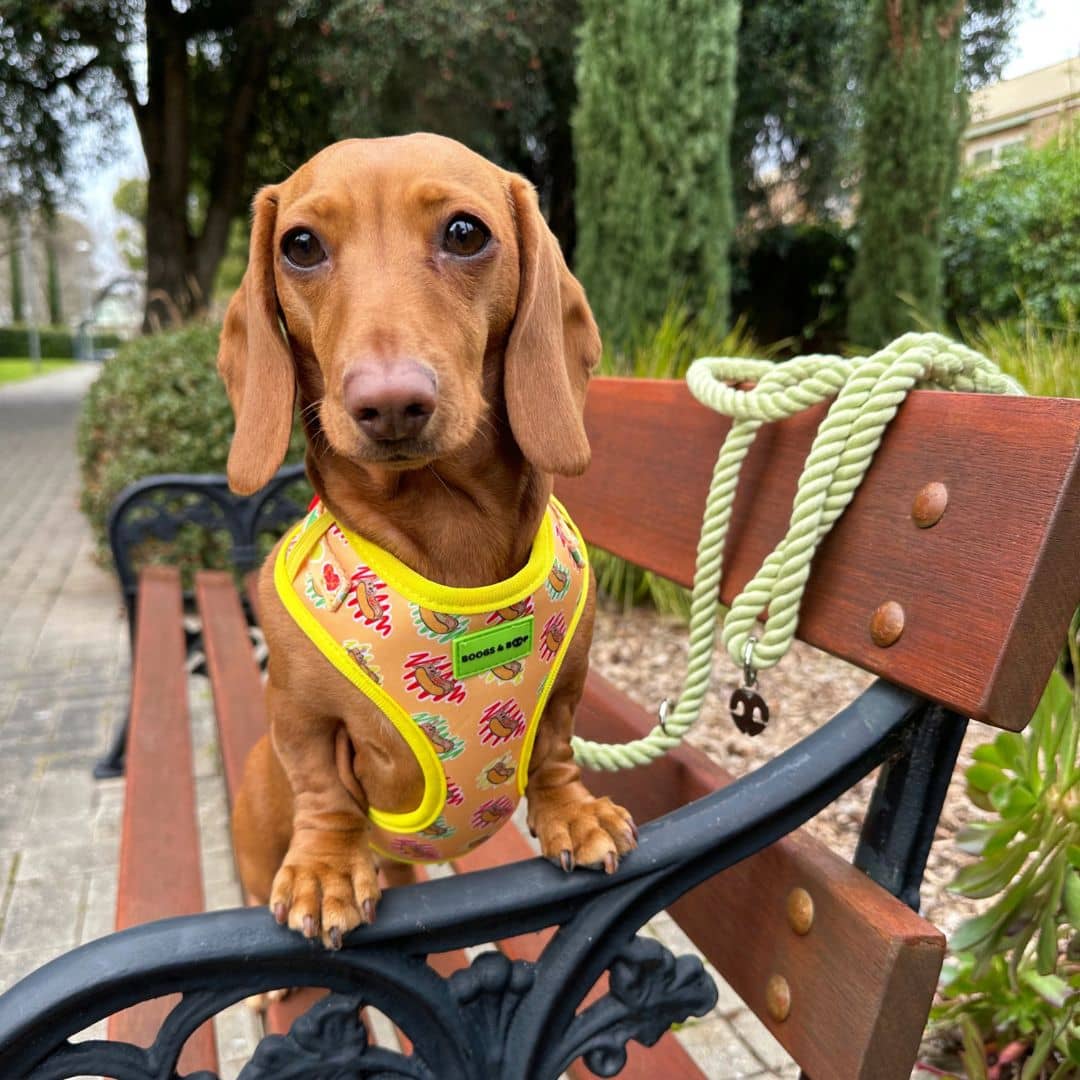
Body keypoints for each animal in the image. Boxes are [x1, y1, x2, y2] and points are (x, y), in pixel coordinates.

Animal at [220, 132, 639, 946]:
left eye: (465, 233)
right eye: (300, 246)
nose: (389, 403)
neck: (448, 533)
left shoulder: (568, 686)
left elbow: (554, 750)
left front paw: (572, 812)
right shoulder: (299, 718)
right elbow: (323, 789)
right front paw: (324, 868)